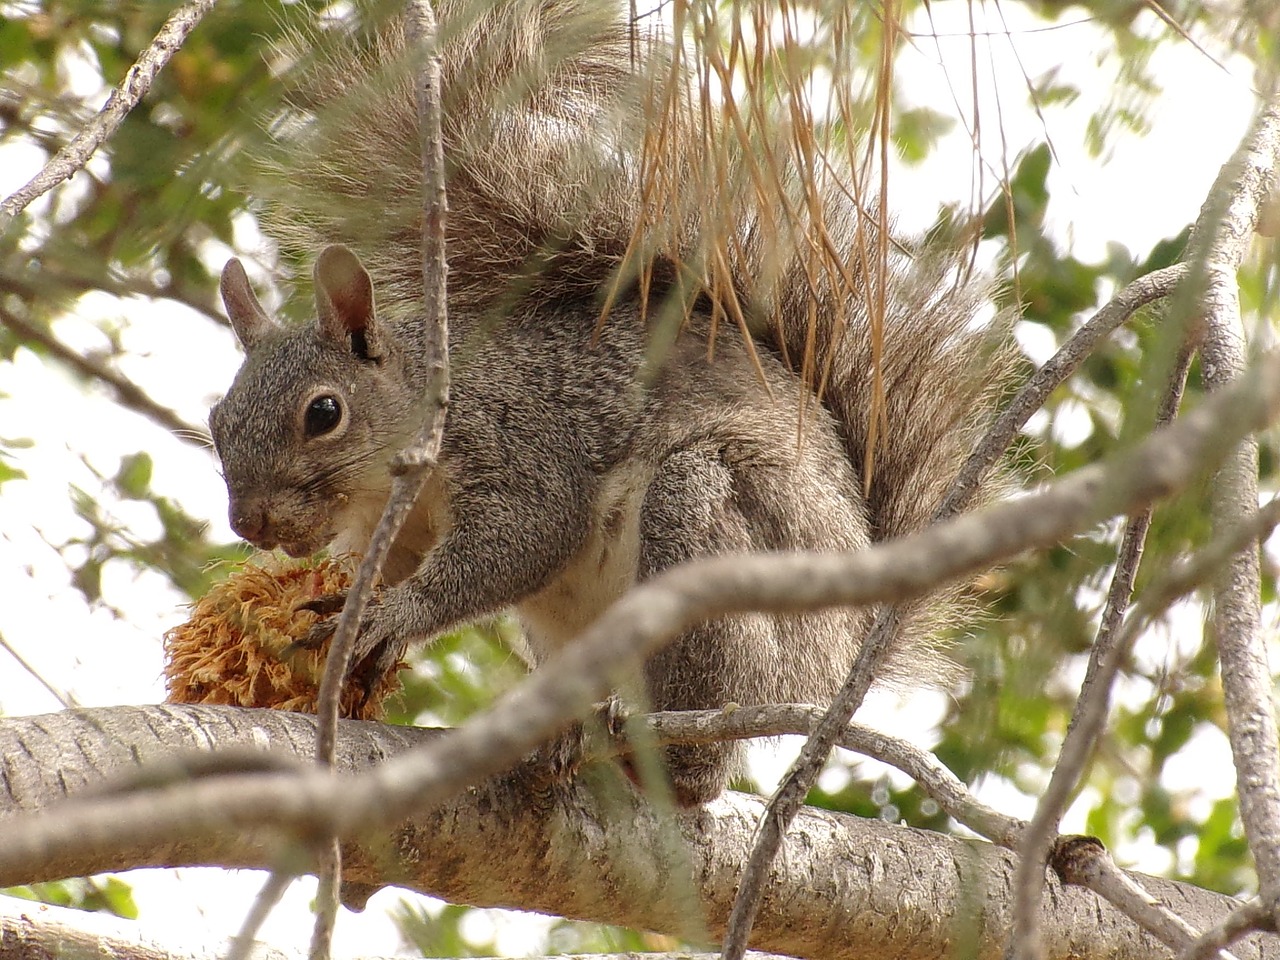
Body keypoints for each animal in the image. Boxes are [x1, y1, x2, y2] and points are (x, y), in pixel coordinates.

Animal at [207, 0, 1008, 814]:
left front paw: (392, 614)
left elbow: (524, 535)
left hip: (715, 532)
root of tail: (847, 647)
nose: (251, 523)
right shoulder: (390, 530)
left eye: (323, 413)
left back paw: (667, 753)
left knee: (703, 747)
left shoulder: (519, 443)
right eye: (218, 420)